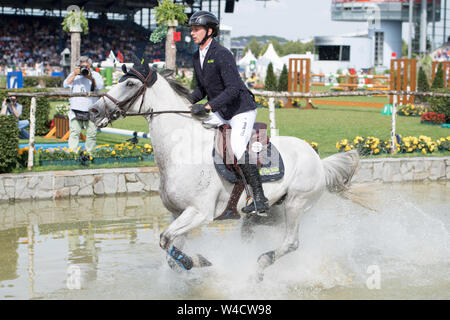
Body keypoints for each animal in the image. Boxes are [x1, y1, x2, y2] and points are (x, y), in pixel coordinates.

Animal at [89, 60, 360, 280]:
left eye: (130, 83)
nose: (93, 111)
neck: (181, 150)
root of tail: (317, 159)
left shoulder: (198, 212)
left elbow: (165, 241)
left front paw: (198, 261)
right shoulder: (178, 214)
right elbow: (170, 251)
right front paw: (194, 263)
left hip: (296, 204)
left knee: (291, 242)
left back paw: (260, 266)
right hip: (271, 212)